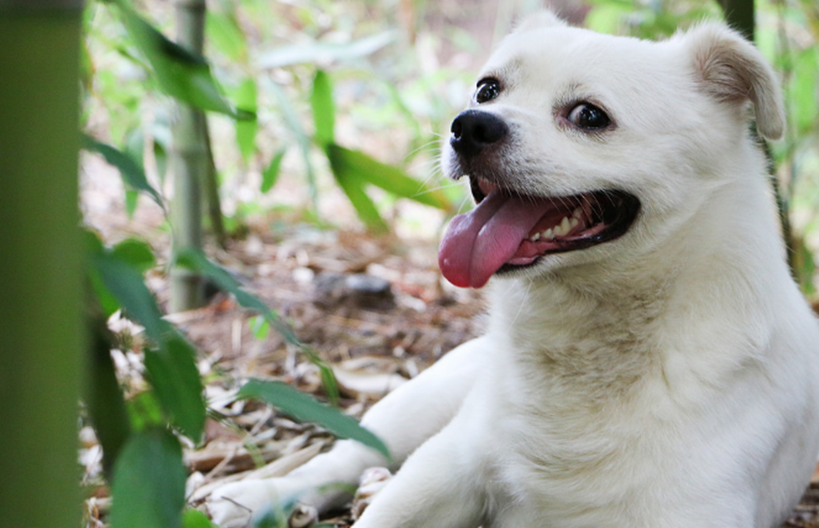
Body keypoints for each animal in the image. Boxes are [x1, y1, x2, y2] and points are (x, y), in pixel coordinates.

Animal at [210, 12, 819, 528]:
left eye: (589, 115)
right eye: (488, 89)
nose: (469, 126)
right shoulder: (445, 470)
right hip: (419, 406)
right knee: (342, 455)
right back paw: (255, 496)